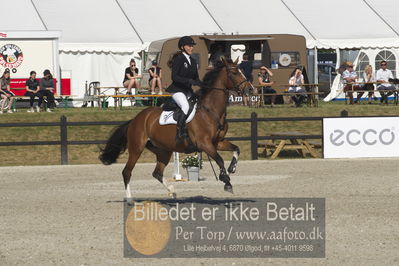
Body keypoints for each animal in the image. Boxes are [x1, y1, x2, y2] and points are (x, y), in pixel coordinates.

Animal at [99, 58, 253, 200]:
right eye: (234, 73)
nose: (251, 89)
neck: (211, 111)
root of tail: (135, 119)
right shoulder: (204, 143)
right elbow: (220, 159)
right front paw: (226, 181)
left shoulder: (217, 142)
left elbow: (236, 149)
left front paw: (232, 168)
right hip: (137, 148)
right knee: (127, 172)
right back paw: (130, 199)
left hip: (163, 150)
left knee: (157, 173)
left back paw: (172, 190)